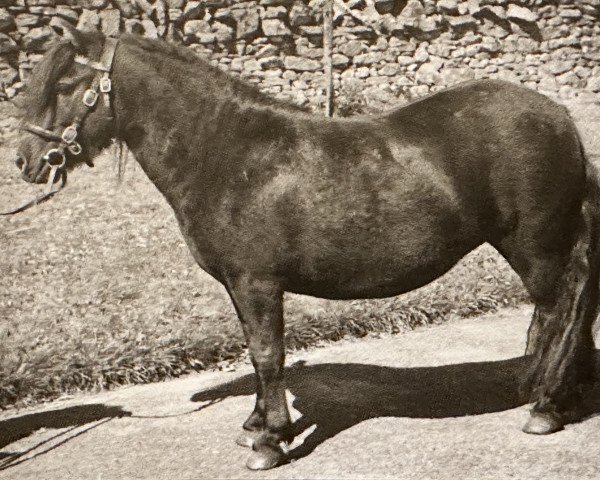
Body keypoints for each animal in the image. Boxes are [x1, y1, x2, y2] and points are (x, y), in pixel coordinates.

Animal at [11, 25, 600, 468]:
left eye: (66, 82)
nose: (24, 162)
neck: (226, 152)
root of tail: (561, 120)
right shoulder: (240, 285)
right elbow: (255, 351)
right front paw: (255, 425)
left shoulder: (257, 282)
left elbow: (268, 354)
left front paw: (271, 441)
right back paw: (554, 392)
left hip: (535, 246)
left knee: (561, 308)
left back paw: (546, 407)